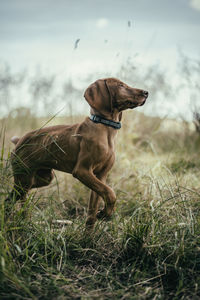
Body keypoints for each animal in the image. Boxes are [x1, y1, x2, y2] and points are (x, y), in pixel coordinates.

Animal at [6, 78, 148, 229]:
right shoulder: (82, 171)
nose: (146, 92)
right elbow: (110, 192)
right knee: (10, 199)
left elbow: (94, 209)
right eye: (121, 85)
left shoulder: (100, 176)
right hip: (24, 178)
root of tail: (20, 141)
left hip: (42, 178)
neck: (105, 128)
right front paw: (106, 212)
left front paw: (93, 228)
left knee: (21, 194)